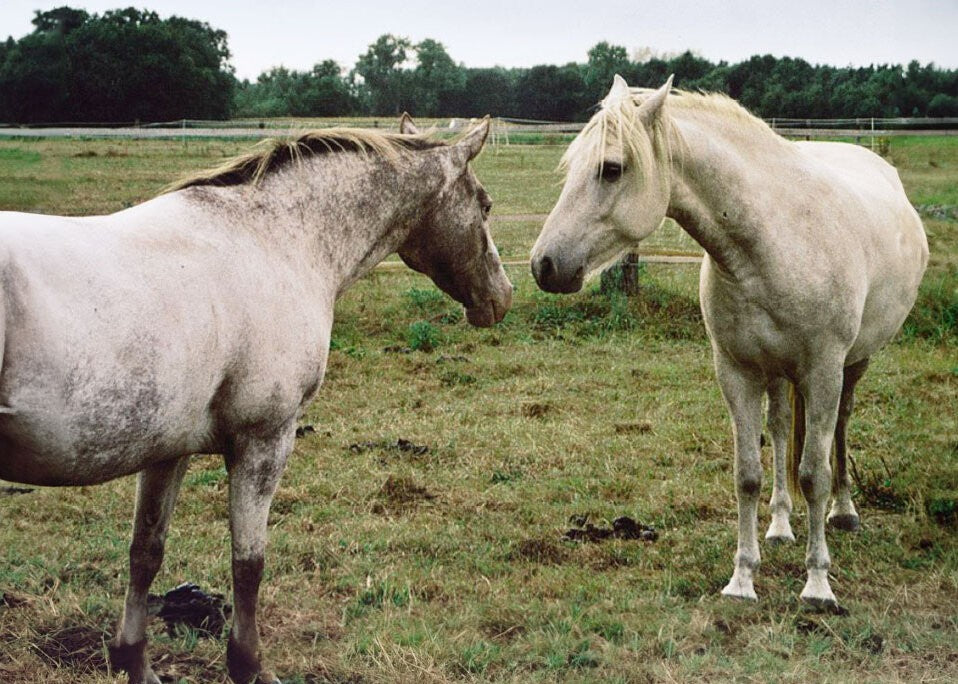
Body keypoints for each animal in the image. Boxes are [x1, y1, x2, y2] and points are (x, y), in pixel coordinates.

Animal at [0, 114, 512, 683]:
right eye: (485, 204)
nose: (501, 297)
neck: (276, 241)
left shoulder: (166, 450)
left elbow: (146, 551)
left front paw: (135, 660)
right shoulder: (264, 439)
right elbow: (248, 564)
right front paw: (248, 664)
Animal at [531, 75, 928, 607]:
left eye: (611, 169)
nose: (544, 264)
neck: (776, 240)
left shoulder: (823, 370)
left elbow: (814, 474)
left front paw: (817, 584)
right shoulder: (736, 372)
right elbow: (748, 475)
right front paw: (742, 578)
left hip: (852, 364)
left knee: (839, 429)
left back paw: (844, 512)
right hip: (777, 374)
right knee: (780, 430)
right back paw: (780, 525)